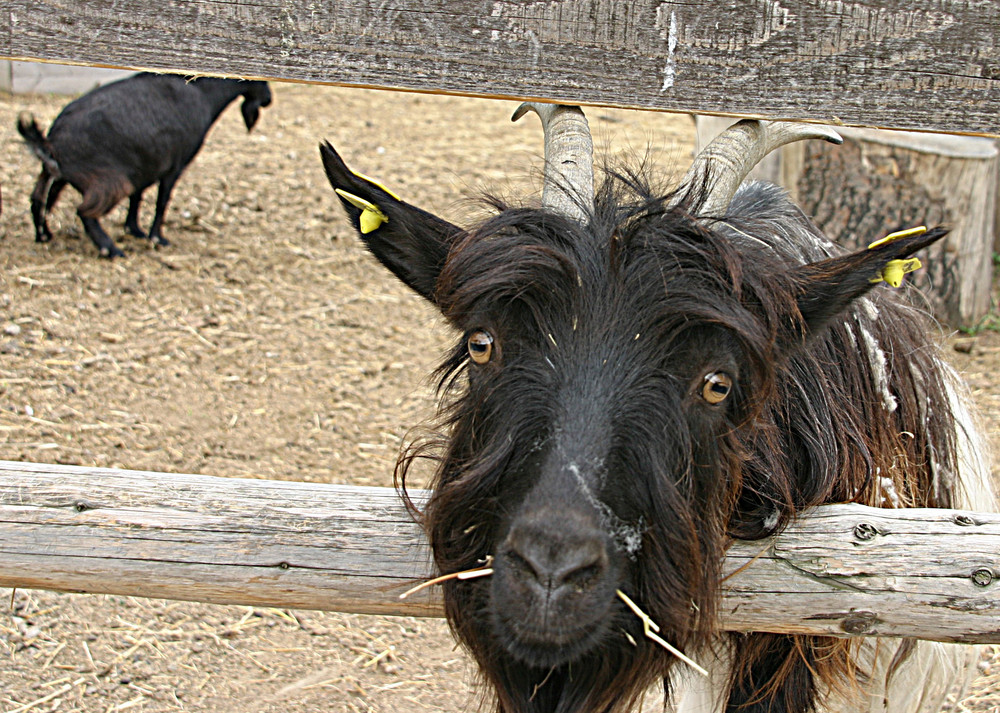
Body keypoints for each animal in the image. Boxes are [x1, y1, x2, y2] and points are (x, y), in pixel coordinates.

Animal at [16, 71, 274, 256]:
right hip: (109, 181)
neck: (202, 93)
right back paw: (110, 249)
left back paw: (44, 235)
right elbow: (162, 202)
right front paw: (157, 238)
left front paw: (135, 230)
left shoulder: (142, 165)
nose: (268, 99)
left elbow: (137, 198)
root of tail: (52, 141)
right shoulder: (174, 166)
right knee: (85, 211)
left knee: (40, 199)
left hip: (58, 174)